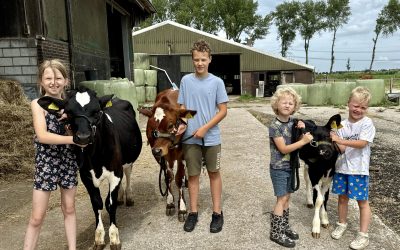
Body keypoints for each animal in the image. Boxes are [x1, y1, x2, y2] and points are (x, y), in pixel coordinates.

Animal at [38, 87, 142, 250]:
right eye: (68, 112)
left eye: (97, 111)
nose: (83, 137)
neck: (96, 155)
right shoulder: (86, 176)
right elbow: (97, 203)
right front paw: (99, 238)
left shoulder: (115, 173)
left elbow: (110, 204)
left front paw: (114, 238)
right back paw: (120, 197)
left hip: (127, 161)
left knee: (128, 173)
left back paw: (129, 196)